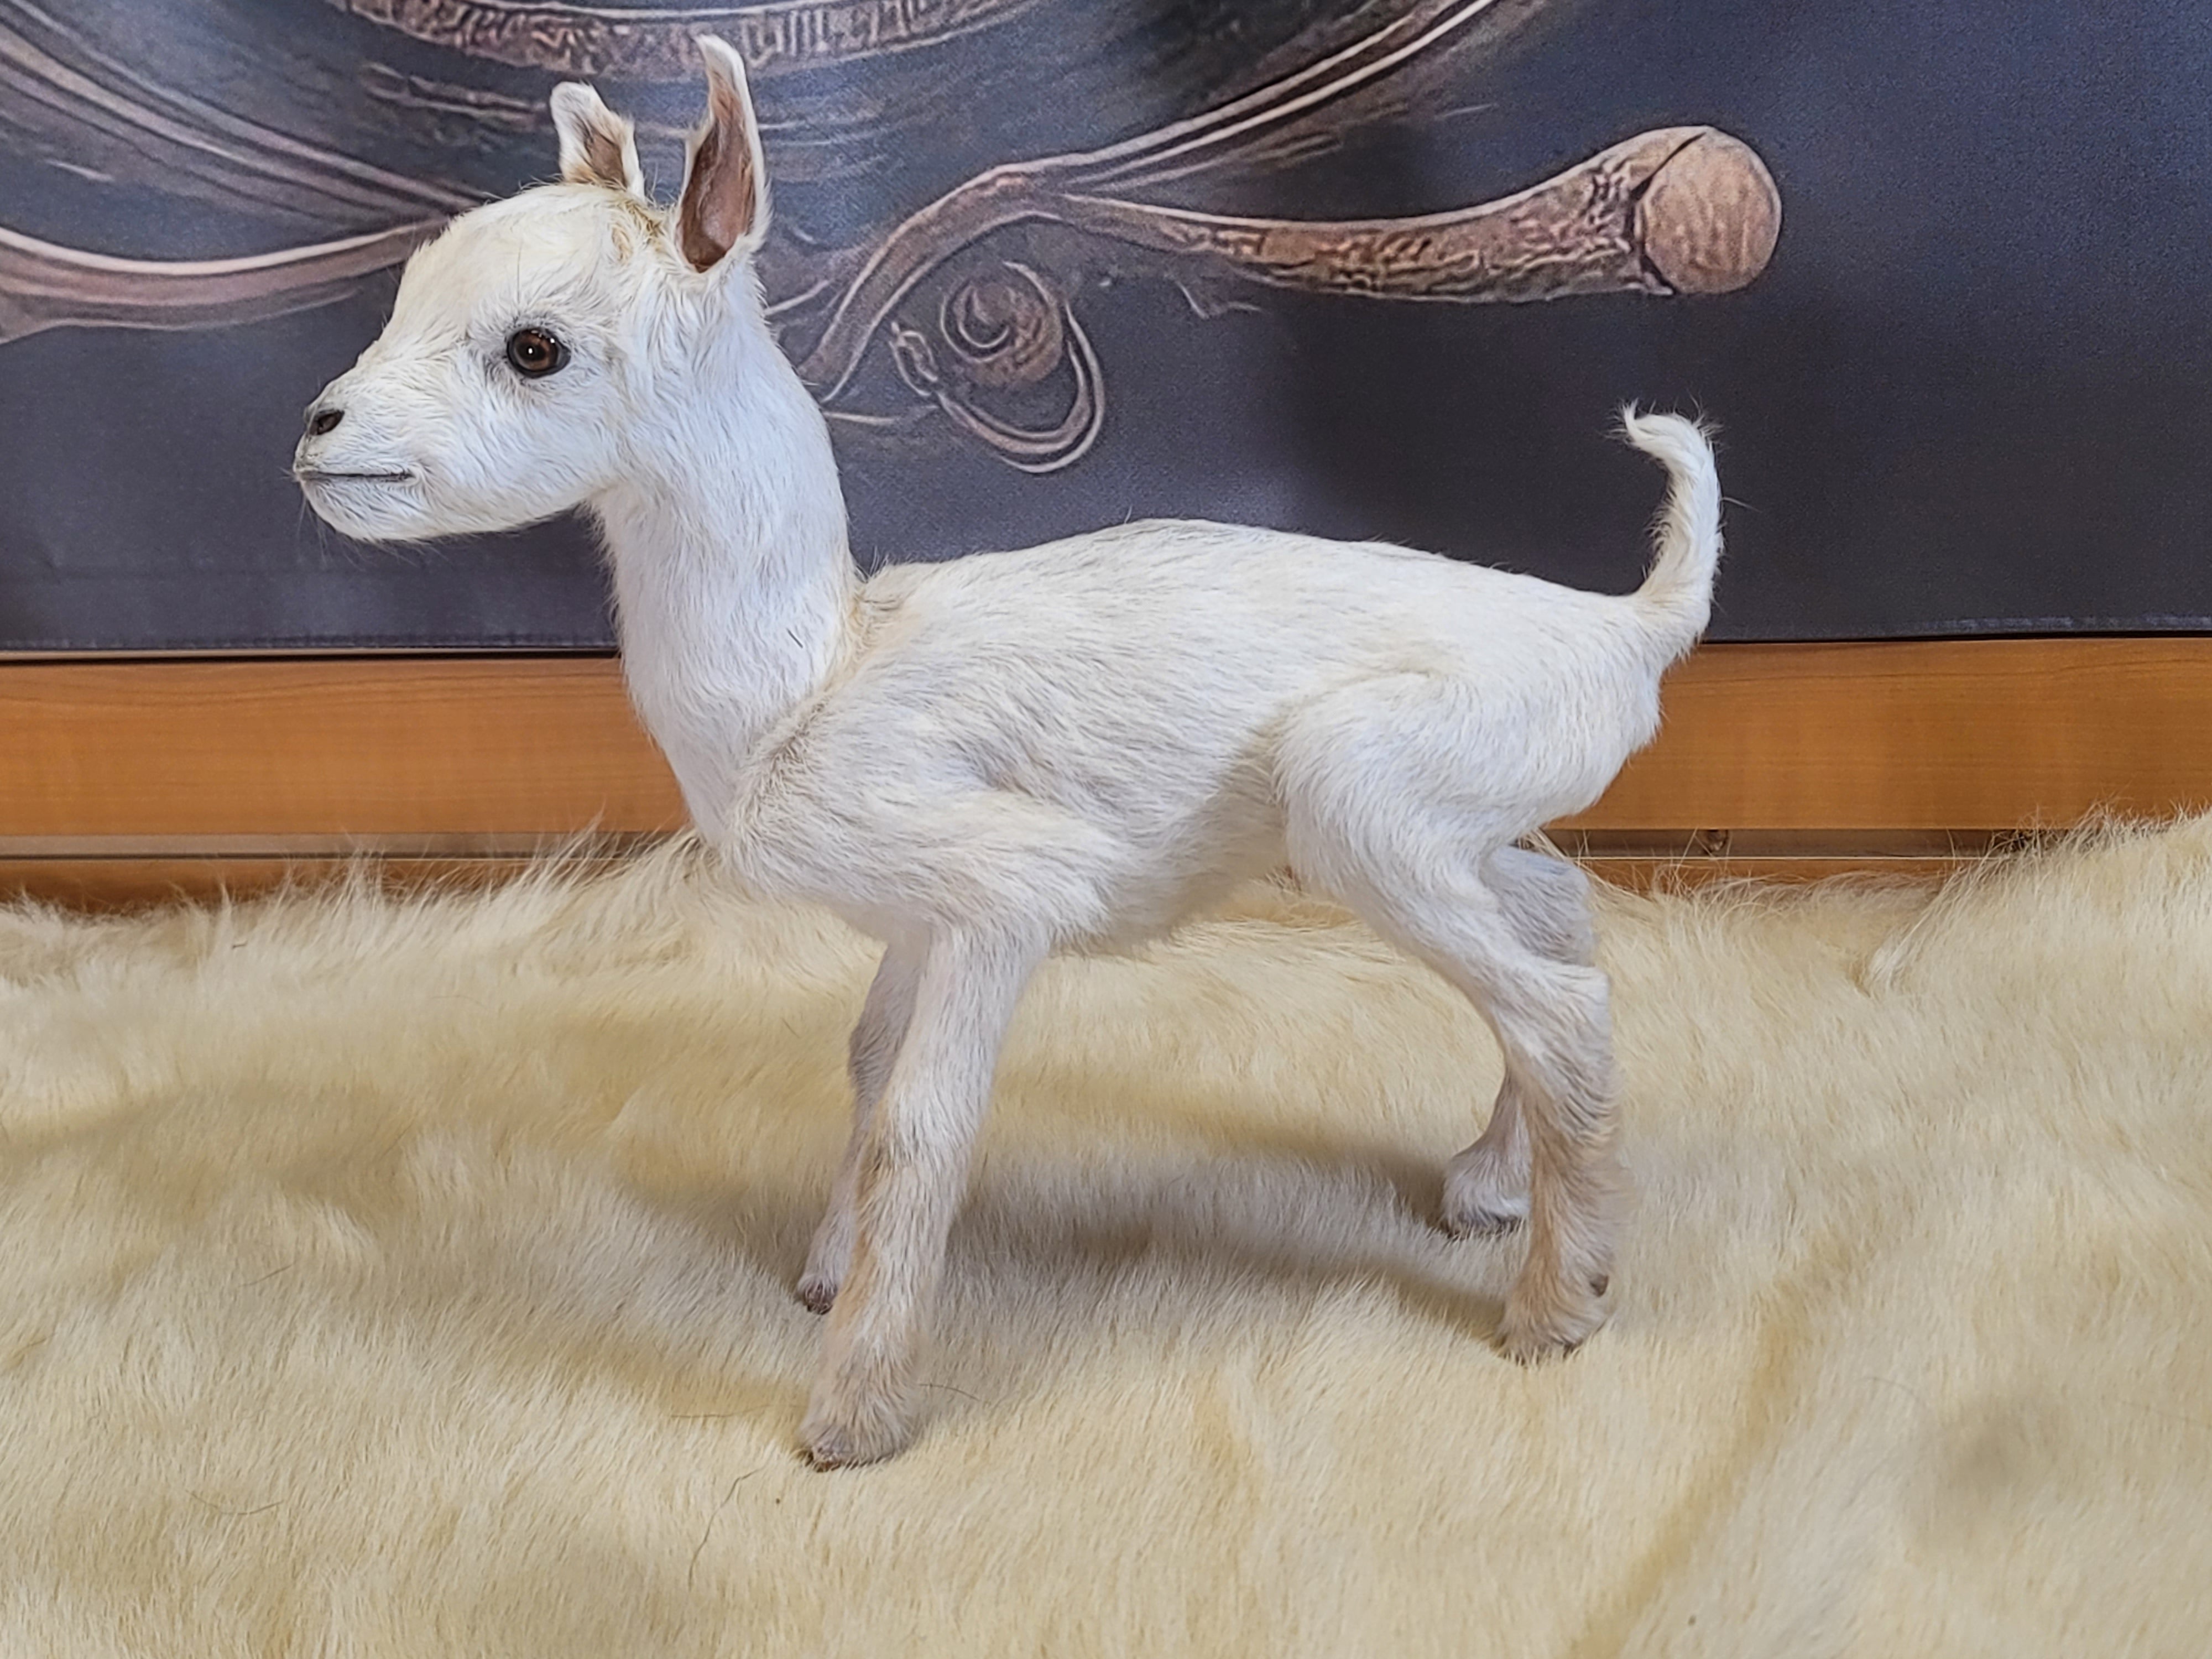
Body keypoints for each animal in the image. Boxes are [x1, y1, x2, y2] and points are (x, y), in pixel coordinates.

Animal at [296, 37, 1725, 1469]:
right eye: (408, 292)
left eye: (533, 346)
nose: (318, 430)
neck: (809, 683)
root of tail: (1630, 625)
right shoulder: (910, 925)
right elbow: (864, 1066)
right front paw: (823, 1275)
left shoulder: (1004, 895)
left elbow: (920, 1129)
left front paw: (852, 1412)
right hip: (1434, 825)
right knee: (1561, 914)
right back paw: (1484, 1191)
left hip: (1357, 799)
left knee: (1559, 1005)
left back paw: (1552, 1311)